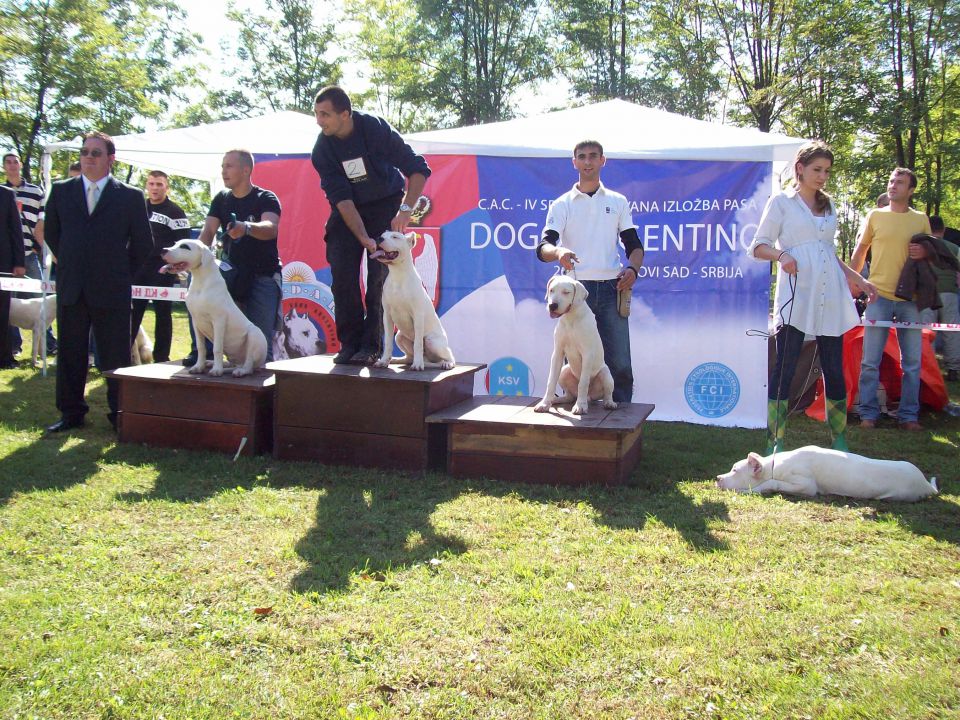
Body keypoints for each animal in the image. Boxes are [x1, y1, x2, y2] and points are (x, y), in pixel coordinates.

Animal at [161, 240, 266, 380]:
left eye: (185, 247)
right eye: (175, 244)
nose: (163, 250)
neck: (201, 282)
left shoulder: (219, 321)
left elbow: (217, 348)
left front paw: (217, 370)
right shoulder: (196, 322)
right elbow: (201, 347)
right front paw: (198, 367)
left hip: (255, 334)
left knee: (249, 364)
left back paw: (239, 371)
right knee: (233, 364)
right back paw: (214, 364)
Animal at [370, 232, 456, 372]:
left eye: (395, 237)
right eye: (383, 234)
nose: (379, 238)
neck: (398, 275)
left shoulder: (418, 315)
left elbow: (418, 344)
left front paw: (418, 364)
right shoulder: (387, 315)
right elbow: (387, 341)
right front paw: (383, 361)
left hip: (432, 341)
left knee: (449, 356)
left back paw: (446, 363)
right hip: (399, 337)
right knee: (409, 357)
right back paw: (396, 359)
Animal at [532, 272, 616, 414]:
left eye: (566, 292)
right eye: (551, 290)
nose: (552, 305)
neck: (571, 318)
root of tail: (590, 397)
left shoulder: (587, 354)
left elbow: (583, 383)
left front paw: (580, 406)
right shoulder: (558, 352)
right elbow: (551, 380)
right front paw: (544, 403)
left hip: (605, 374)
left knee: (606, 392)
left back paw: (608, 403)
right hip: (564, 371)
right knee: (569, 396)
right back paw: (556, 399)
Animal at [720, 448, 936, 504]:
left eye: (735, 470)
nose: (717, 478)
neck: (772, 465)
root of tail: (926, 484)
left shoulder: (806, 485)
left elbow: (773, 482)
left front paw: (753, 490)